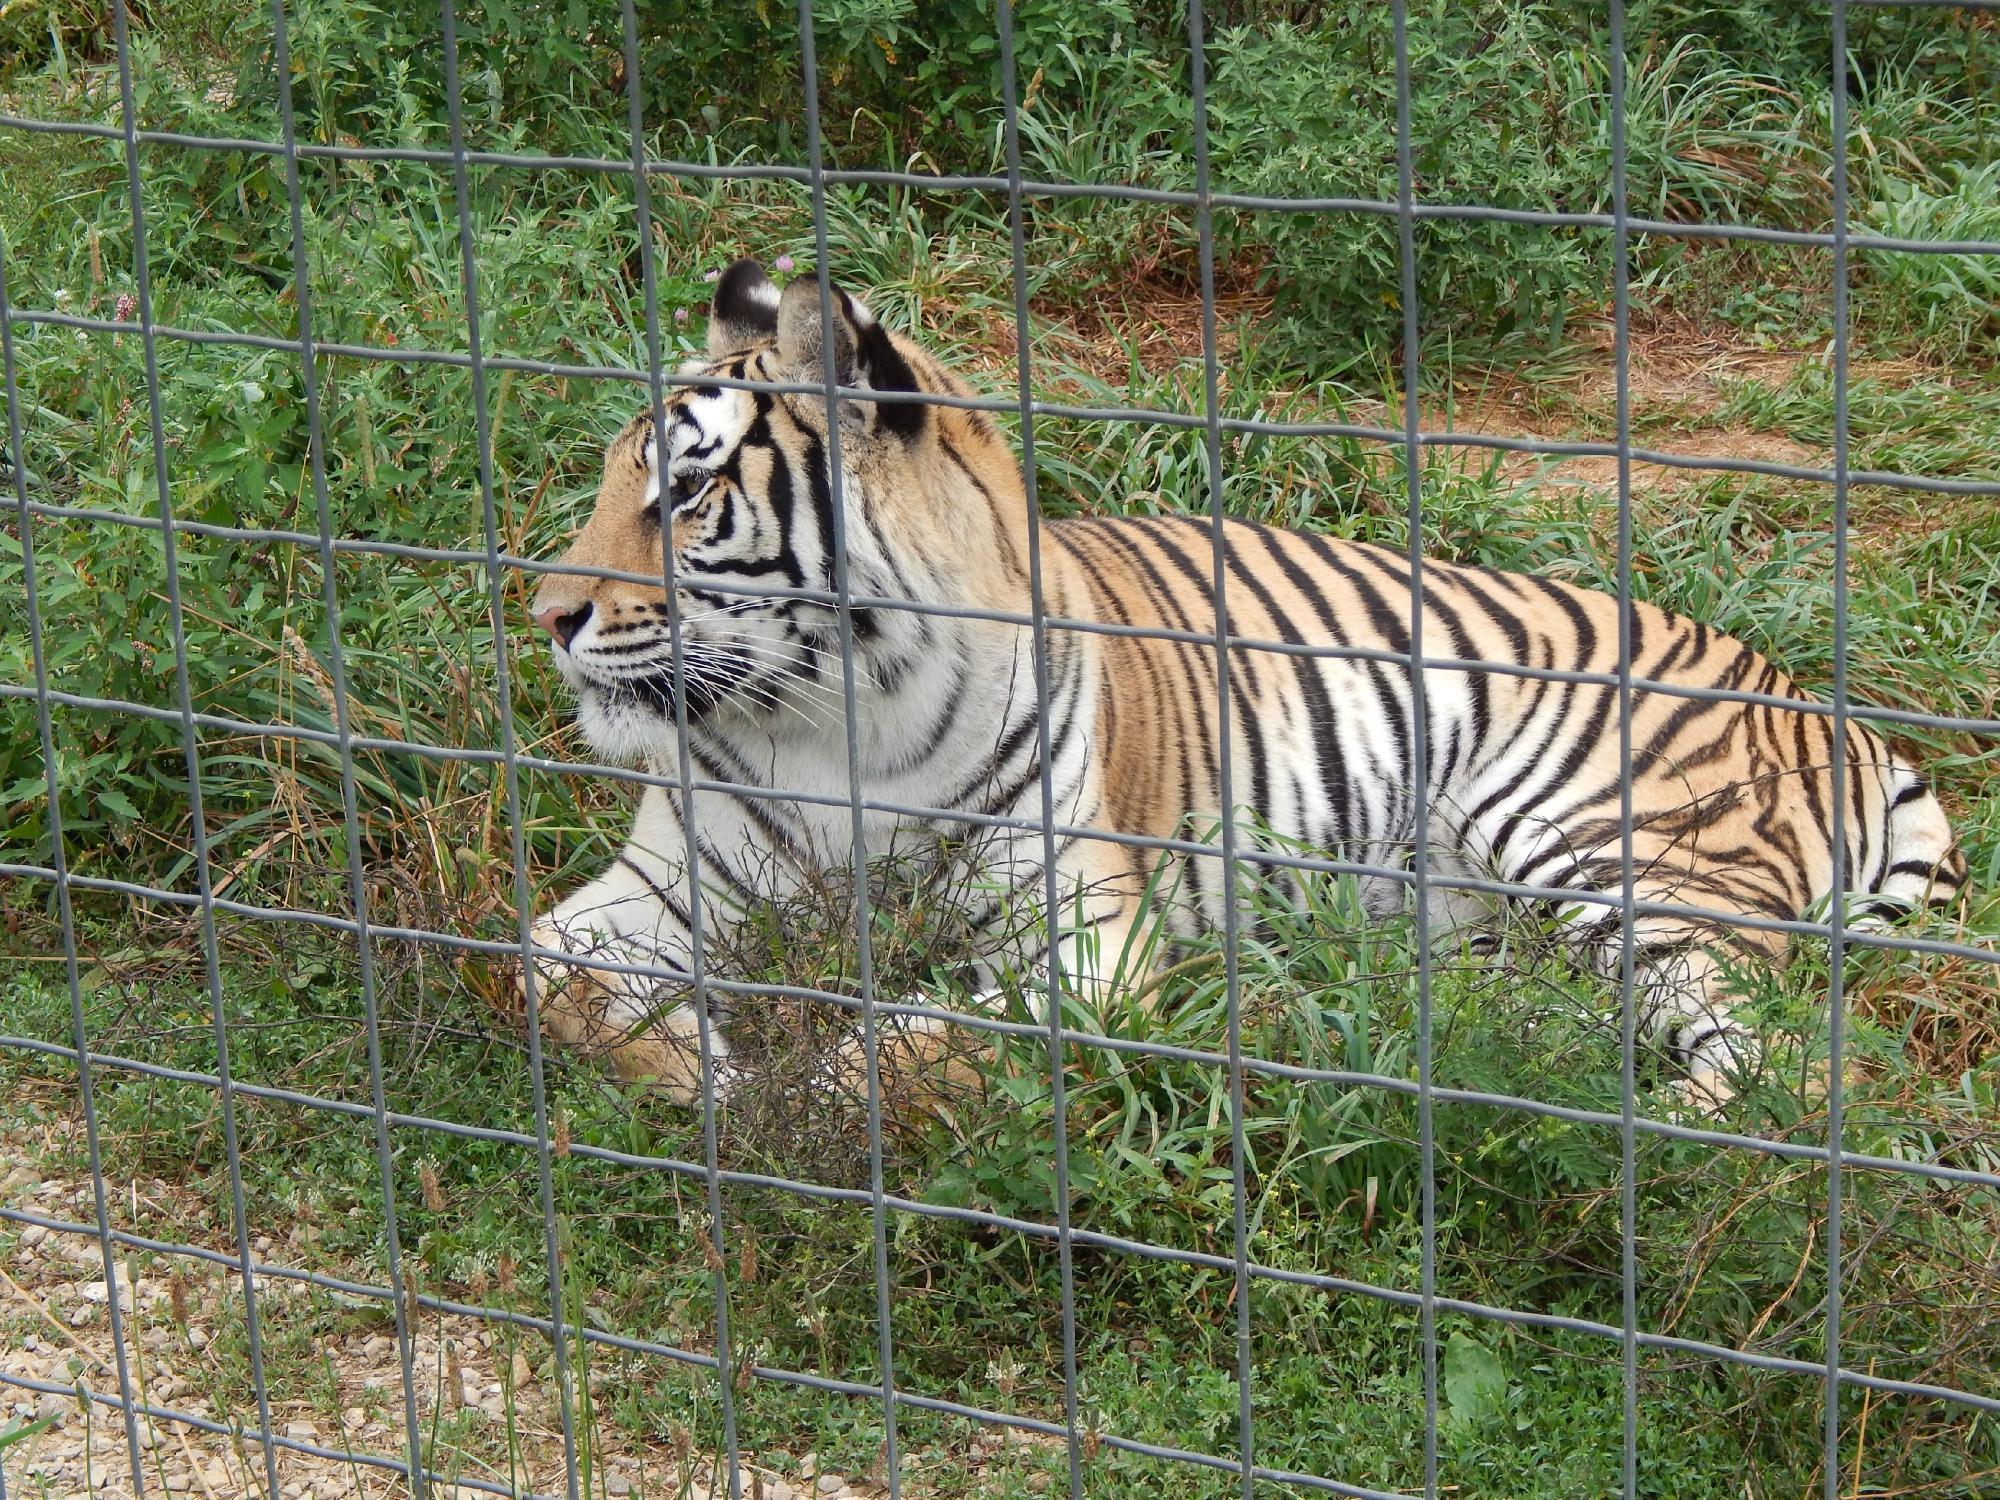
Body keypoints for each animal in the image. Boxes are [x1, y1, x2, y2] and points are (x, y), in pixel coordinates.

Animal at [520, 258, 1968, 1120]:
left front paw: (770, 1098)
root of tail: (1823, 708)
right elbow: (543, 967)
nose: (544, 614)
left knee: (1779, 1069)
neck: (832, 721)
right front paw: (691, 1061)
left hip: (1609, 848)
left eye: (688, 493)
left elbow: (884, 1050)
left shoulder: (1084, 943)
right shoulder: (668, 882)